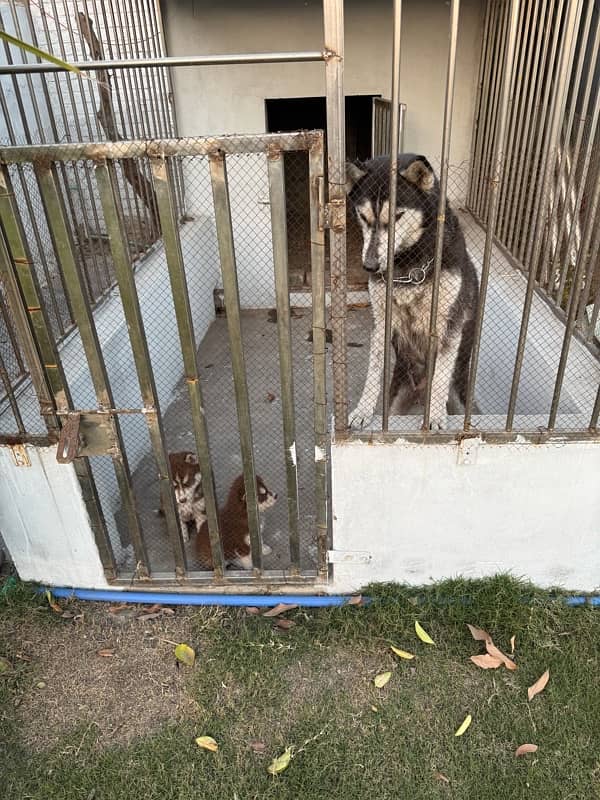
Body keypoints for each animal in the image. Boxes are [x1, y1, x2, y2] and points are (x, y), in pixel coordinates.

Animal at [346, 155, 478, 432]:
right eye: (363, 216)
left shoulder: (449, 324)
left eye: (397, 216)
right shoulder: (381, 321)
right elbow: (373, 370)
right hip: (396, 401)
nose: (370, 266)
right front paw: (362, 410)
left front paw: (435, 416)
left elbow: (441, 374)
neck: (410, 265)